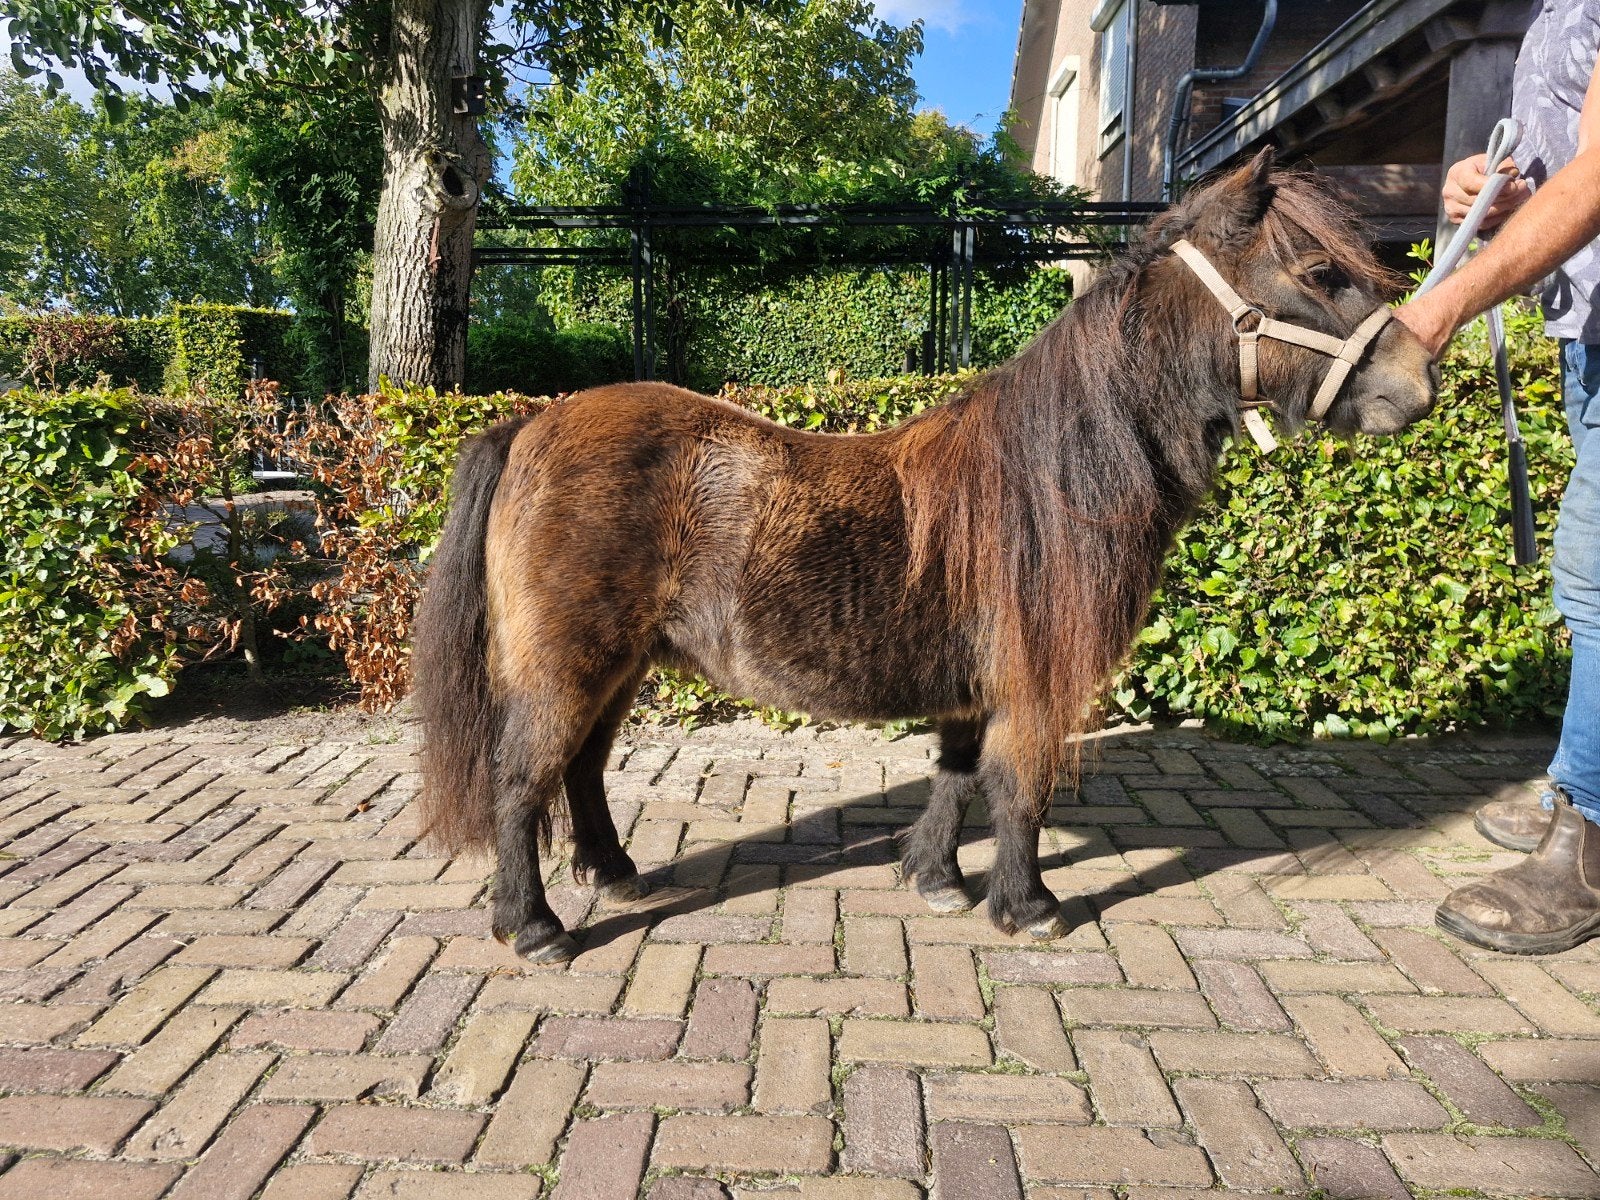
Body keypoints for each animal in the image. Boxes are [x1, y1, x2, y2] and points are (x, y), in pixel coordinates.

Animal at [411, 148, 1437, 963]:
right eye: (1319, 270)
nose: (1420, 381)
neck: (1056, 473)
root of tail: (529, 423)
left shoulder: (974, 676)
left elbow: (956, 773)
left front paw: (938, 879)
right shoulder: (1033, 678)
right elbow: (1018, 788)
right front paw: (1027, 906)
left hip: (619, 663)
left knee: (580, 768)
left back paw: (617, 873)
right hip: (569, 662)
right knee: (523, 776)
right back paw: (533, 927)